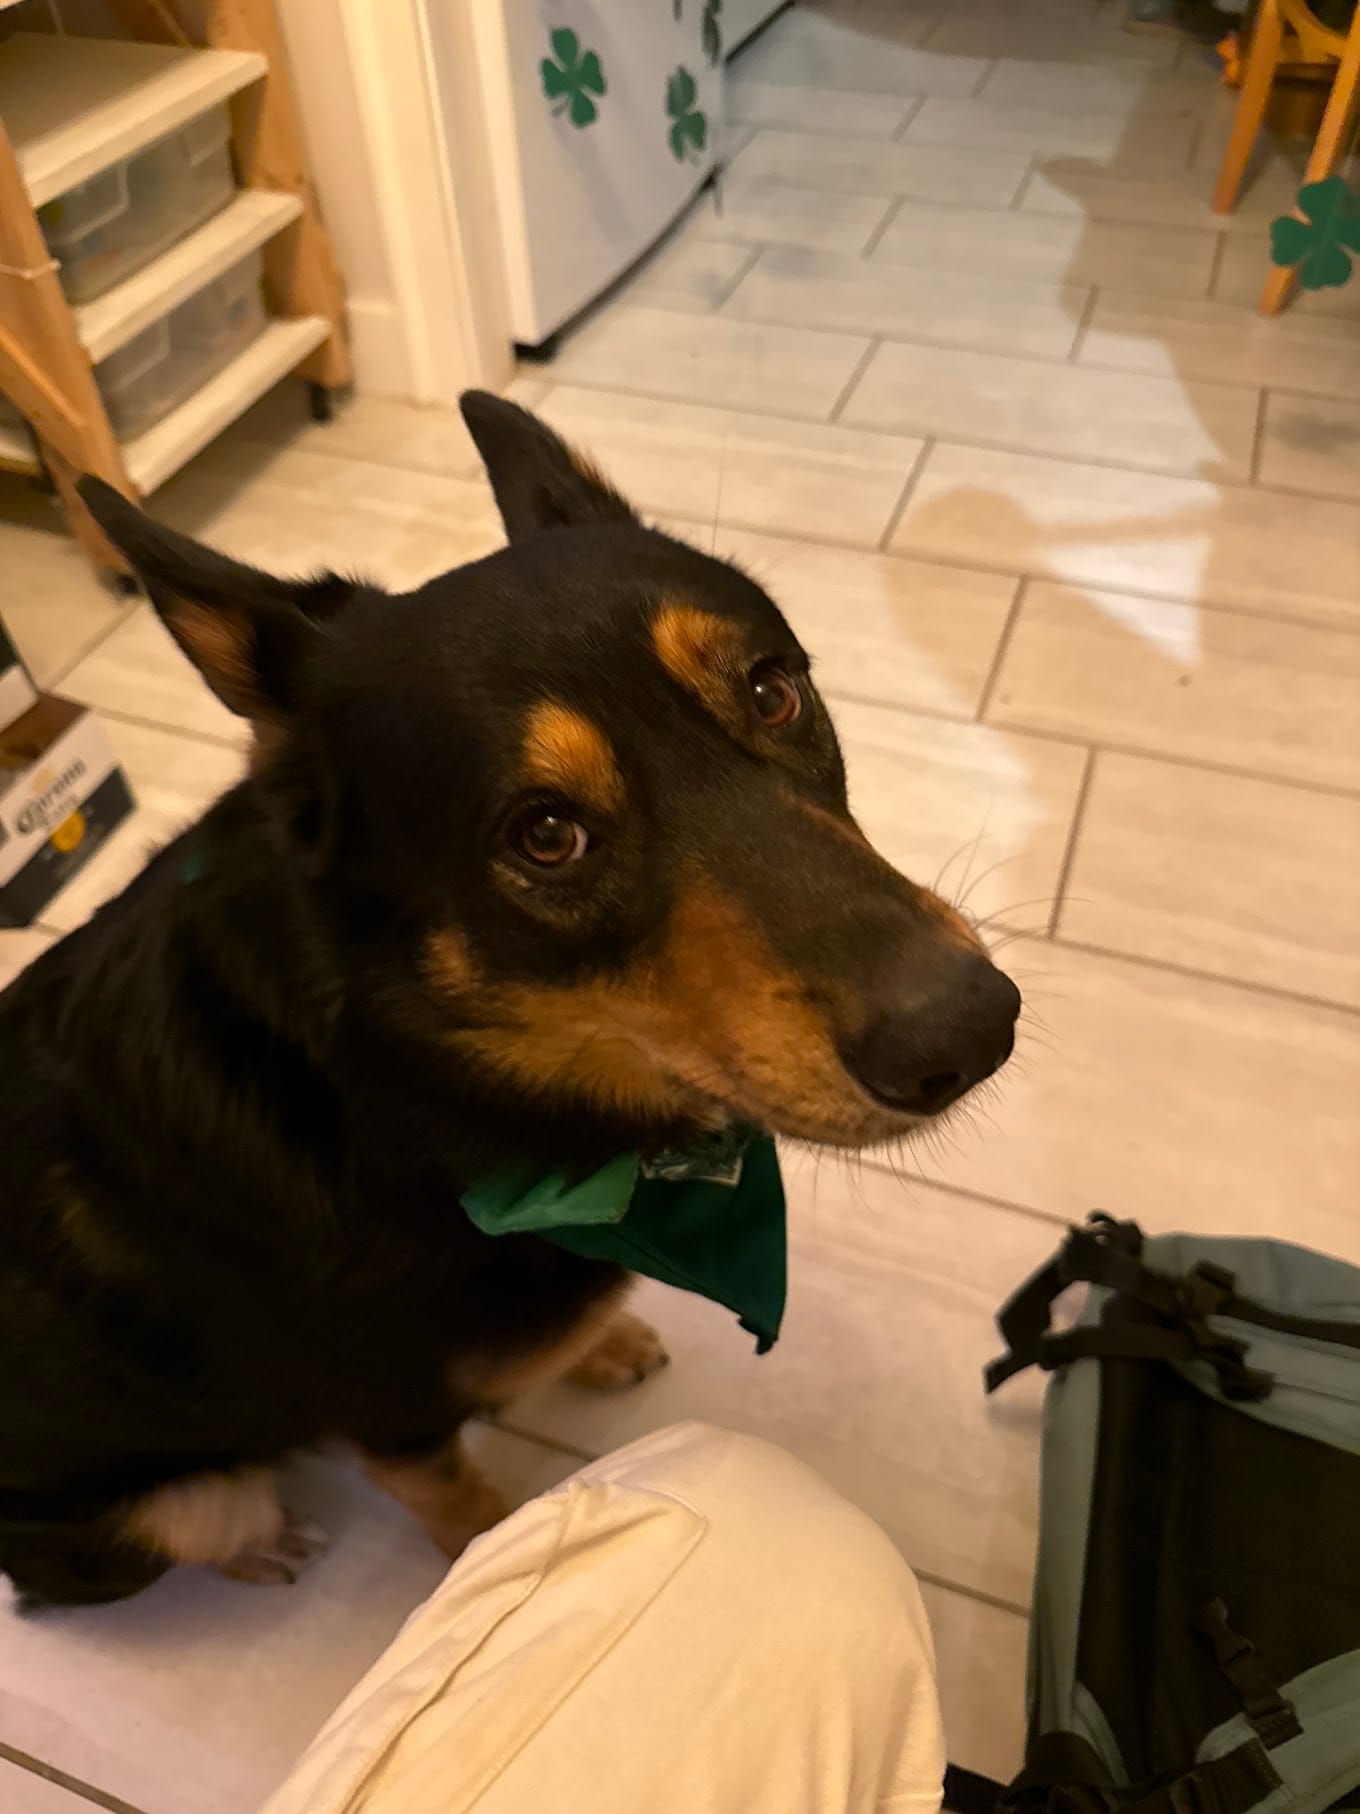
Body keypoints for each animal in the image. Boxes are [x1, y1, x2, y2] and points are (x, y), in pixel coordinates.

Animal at [0, 394, 1019, 1609]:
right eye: (544, 835)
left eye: (773, 689)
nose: (972, 1028)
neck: (398, 1081)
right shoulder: (397, 1428)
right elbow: (469, 1513)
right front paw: (500, 1562)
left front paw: (601, 1344)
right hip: (177, 1501)